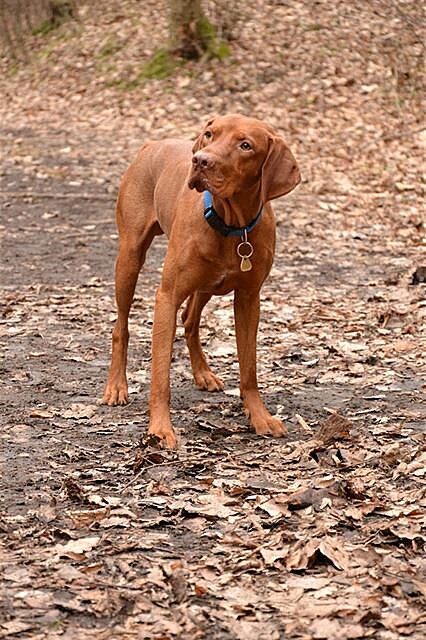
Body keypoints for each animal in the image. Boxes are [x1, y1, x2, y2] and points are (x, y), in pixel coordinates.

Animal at [102, 114, 300, 444]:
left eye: (246, 145)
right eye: (209, 134)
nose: (200, 161)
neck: (231, 224)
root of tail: (151, 143)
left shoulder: (249, 298)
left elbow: (249, 369)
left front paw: (259, 416)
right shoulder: (167, 295)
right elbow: (160, 376)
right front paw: (160, 429)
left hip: (208, 285)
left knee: (190, 320)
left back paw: (203, 373)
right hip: (129, 258)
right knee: (122, 327)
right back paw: (116, 386)